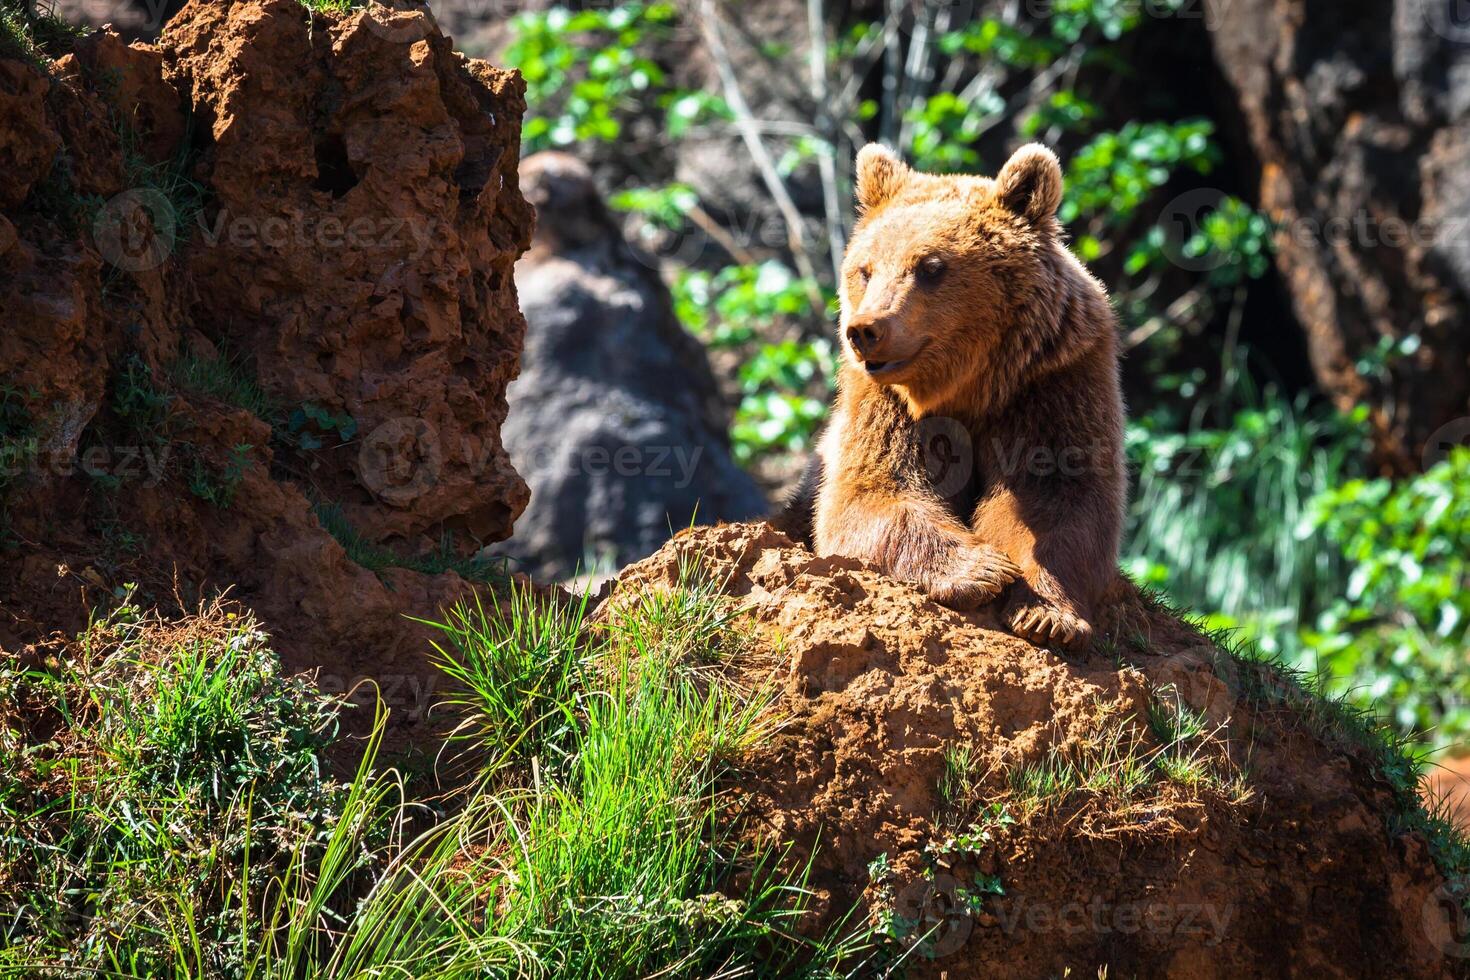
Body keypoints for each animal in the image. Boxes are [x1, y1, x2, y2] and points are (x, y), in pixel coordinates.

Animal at [782, 141, 1123, 655]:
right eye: (865, 269)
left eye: (930, 267)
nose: (866, 330)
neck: (971, 384)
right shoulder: (885, 405)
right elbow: (871, 492)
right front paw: (982, 569)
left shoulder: (1054, 381)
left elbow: (1059, 496)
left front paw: (1047, 614)